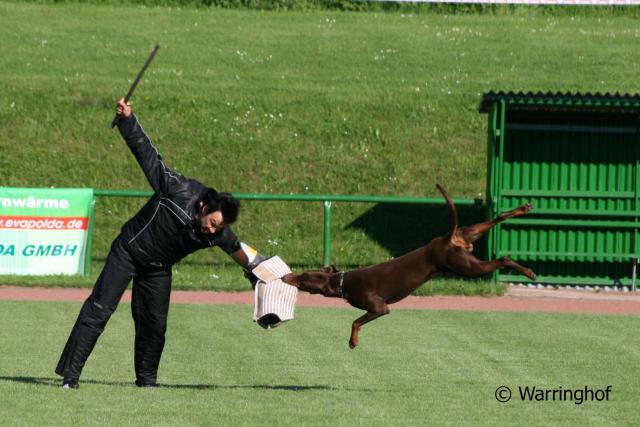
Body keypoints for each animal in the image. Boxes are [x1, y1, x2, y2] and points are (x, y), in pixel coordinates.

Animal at [282, 184, 536, 349]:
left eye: (302, 280)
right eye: (302, 274)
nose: (285, 277)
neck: (343, 281)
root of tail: (447, 239)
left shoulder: (380, 308)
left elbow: (356, 322)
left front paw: (353, 341)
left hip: (466, 266)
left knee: (502, 259)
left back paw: (527, 271)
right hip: (467, 237)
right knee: (498, 218)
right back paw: (522, 210)